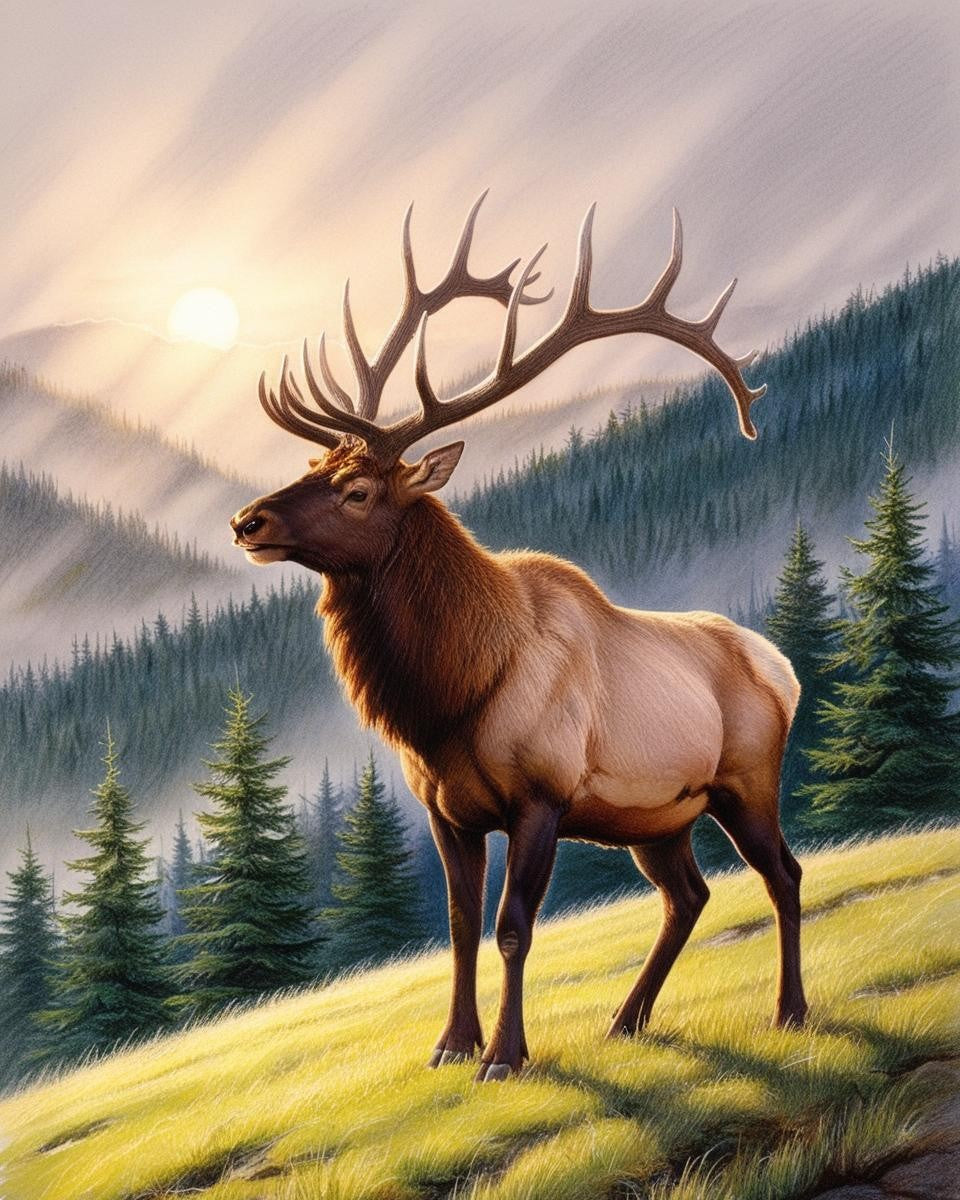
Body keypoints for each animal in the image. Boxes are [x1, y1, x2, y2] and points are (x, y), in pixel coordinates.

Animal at [230, 193, 807, 1082]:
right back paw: (626, 1020)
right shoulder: (446, 810)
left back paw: (790, 1011)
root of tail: (783, 667)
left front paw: (505, 1054)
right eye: (315, 465)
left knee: (783, 873)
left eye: (357, 489)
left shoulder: (543, 794)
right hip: (658, 817)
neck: (451, 697)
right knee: (689, 895)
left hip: (747, 780)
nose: (247, 521)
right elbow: (460, 926)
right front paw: (451, 1044)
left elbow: (511, 927)